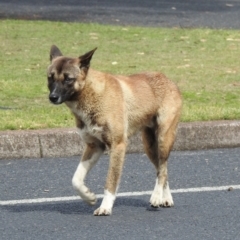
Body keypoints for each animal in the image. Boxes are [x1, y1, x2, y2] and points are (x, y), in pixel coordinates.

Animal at [47, 45, 182, 216]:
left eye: (68, 78)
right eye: (50, 78)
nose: (52, 97)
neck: (92, 94)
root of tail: (168, 80)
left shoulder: (117, 146)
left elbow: (110, 182)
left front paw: (105, 207)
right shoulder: (94, 146)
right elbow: (76, 179)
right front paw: (88, 196)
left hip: (163, 138)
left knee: (162, 170)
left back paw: (156, 197)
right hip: (150, 146)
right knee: (162, 169)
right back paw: (166, 198)